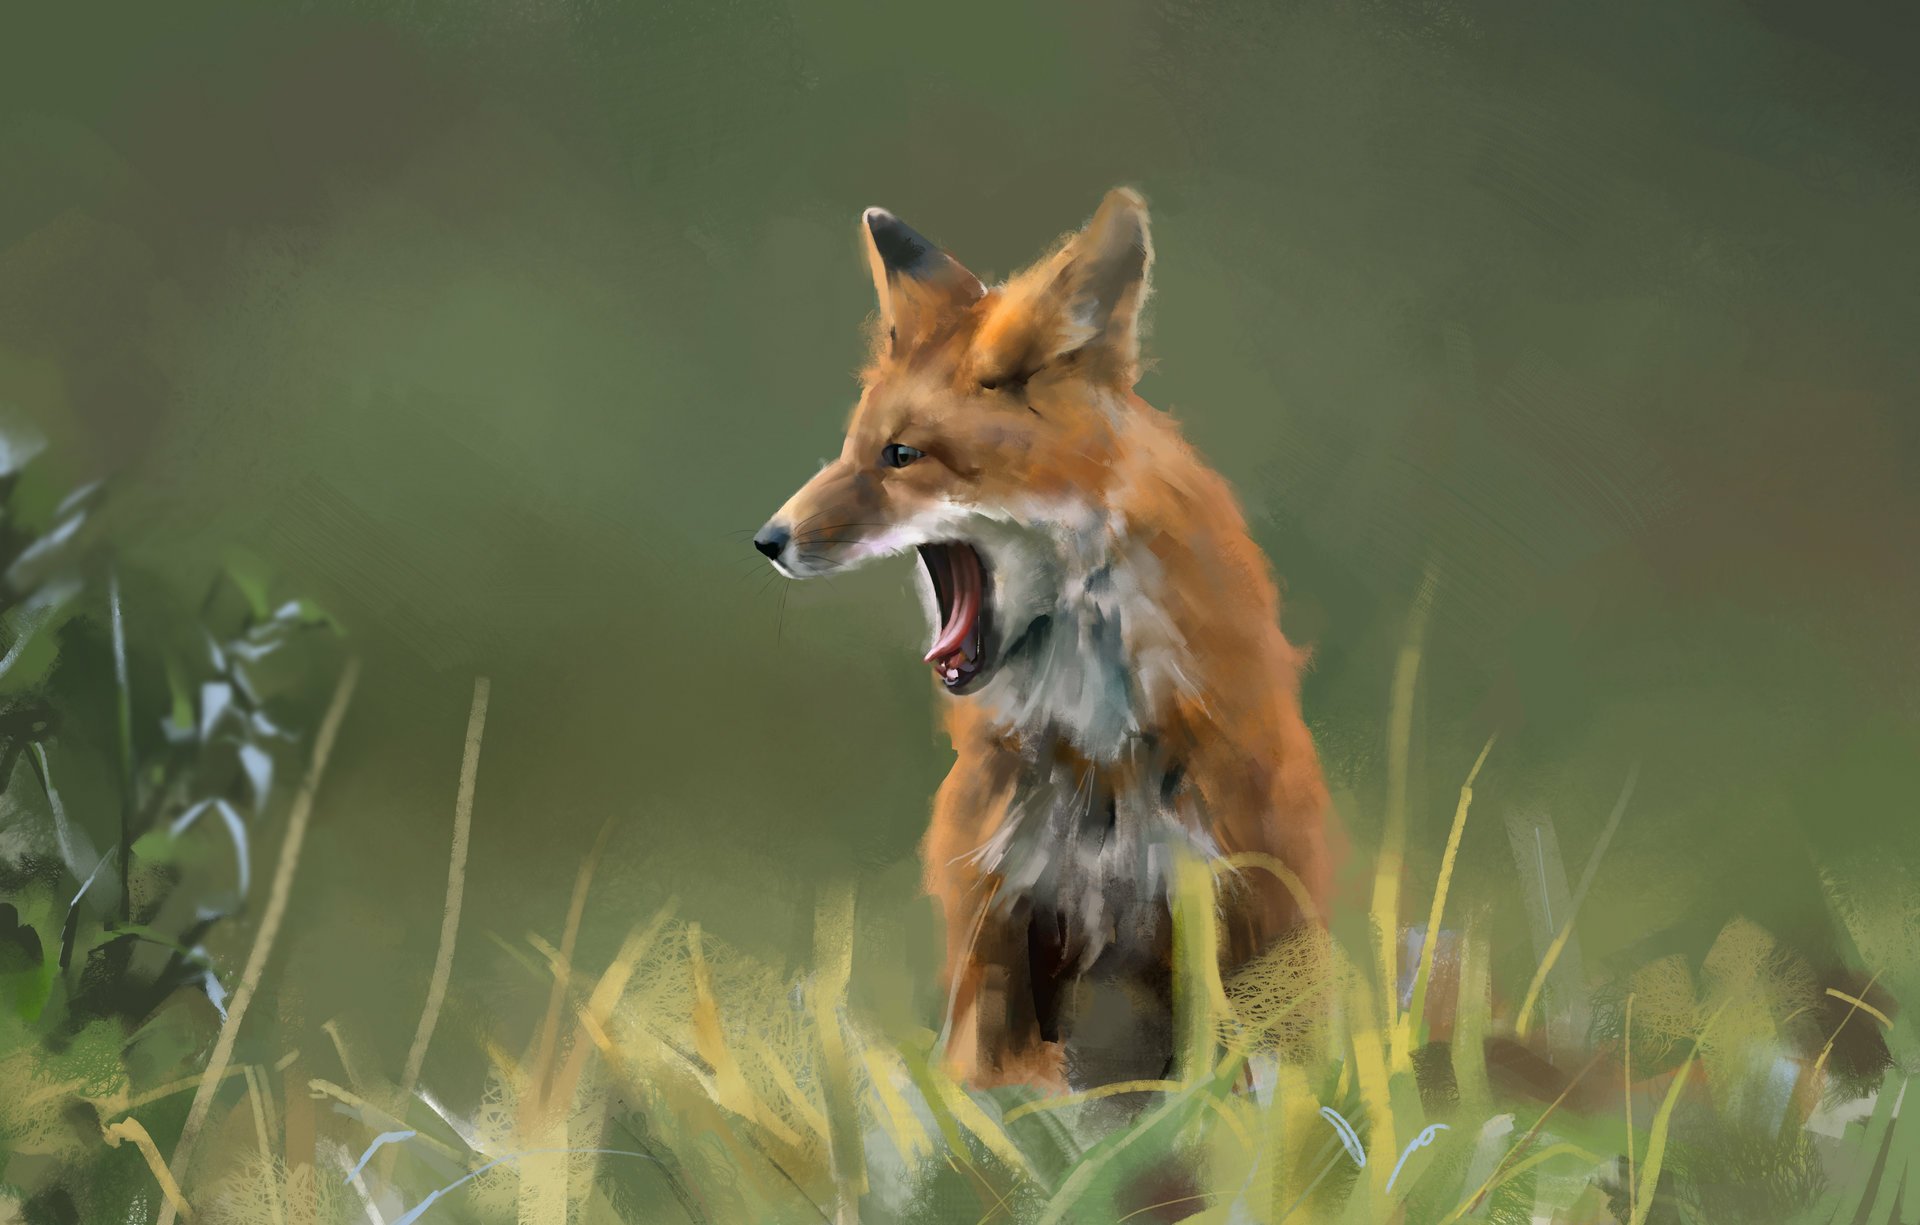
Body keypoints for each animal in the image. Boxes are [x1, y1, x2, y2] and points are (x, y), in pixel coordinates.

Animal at [753, 188, 1333, 1091]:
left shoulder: (1223, 913)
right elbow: (998, 1094)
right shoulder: (998, 919)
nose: (768, 538)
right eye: (854, 448)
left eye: (901, 455)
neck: (1099, 755)